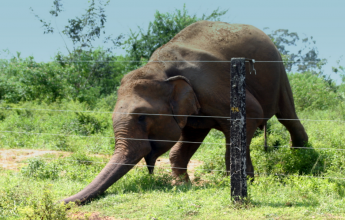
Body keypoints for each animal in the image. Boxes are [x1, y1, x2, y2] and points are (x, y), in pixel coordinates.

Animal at [63, 21, 308, 205]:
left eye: (142, 117)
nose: (62, 200)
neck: (160, 69)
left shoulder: (211, 84)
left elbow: (251, 115)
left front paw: (241, 182)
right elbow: (188, 138)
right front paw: (182, 185)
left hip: (280, 72)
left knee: (287, 115)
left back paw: (303, 161)